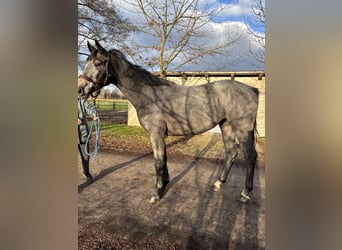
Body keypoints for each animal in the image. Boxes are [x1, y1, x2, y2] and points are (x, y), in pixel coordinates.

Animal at [77, 39, 260, 203]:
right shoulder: (160, 135)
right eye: (86, 63)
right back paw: (218, 183)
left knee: (250, 156)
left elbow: (158, 162)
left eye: (98, 63)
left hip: (242, 128)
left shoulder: (155, 134)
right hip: (226, 125)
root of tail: (252, 89)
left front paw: (156, 193)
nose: (80, 89)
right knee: (231, 153)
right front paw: (164, 184)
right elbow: (163, 160)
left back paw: (245, 193)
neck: (150, 96)